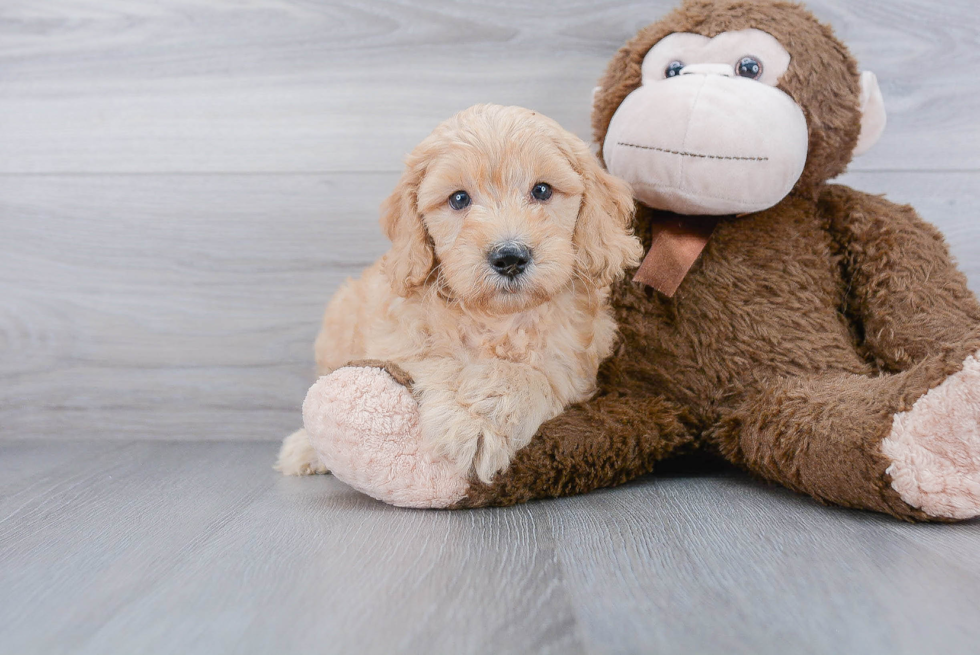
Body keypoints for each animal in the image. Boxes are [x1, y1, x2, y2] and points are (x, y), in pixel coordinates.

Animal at [276, 102, 644, 482]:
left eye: (542, 191)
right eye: (458, 199)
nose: (509, 257)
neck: (498, 318)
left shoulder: (572, 364)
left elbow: (531, 375)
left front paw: (480, 416)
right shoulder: (398, 340)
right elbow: (437, 360)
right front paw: (468, 414)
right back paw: (305, 448)